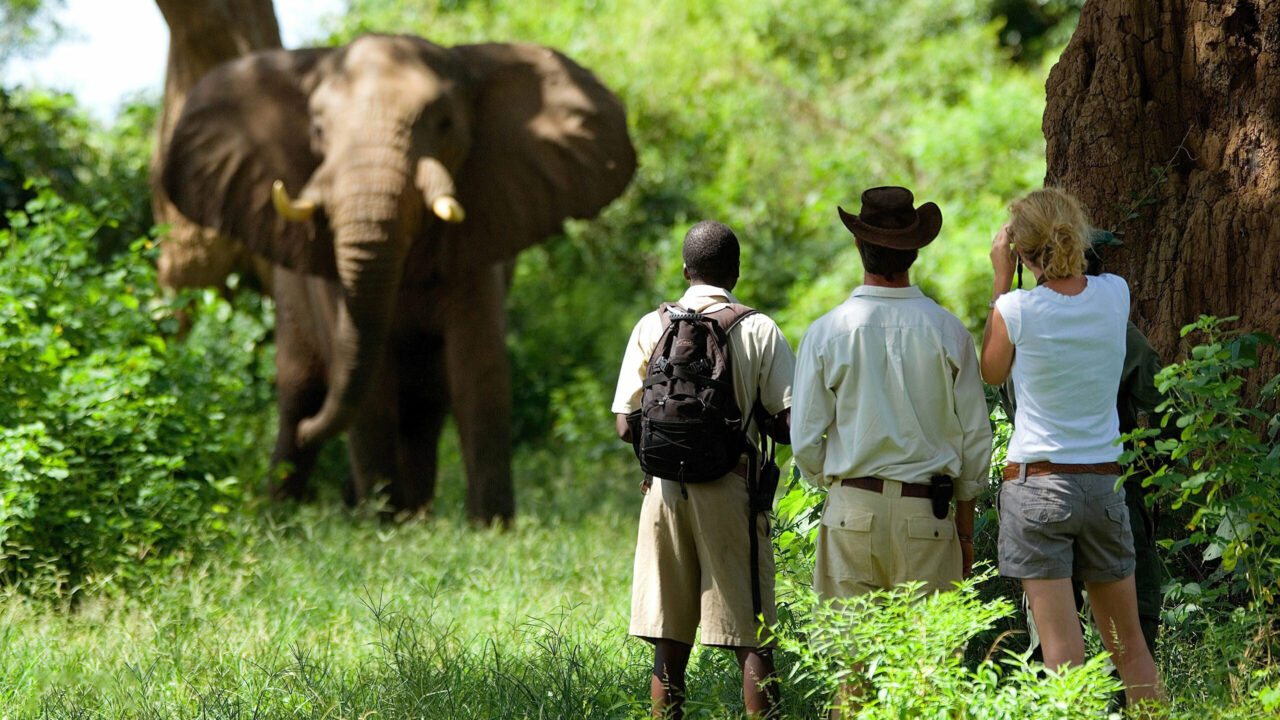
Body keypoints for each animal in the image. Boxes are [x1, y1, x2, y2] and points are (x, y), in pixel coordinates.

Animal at [160, 33, 636, 523]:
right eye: (318, 130)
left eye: (444, 124)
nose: (350, 496)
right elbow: (369, 384)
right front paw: (381, 523)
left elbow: (479, 371)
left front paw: (489, 526)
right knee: (298, 395)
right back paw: (292, 512)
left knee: (424, 407)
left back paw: (414, 513)